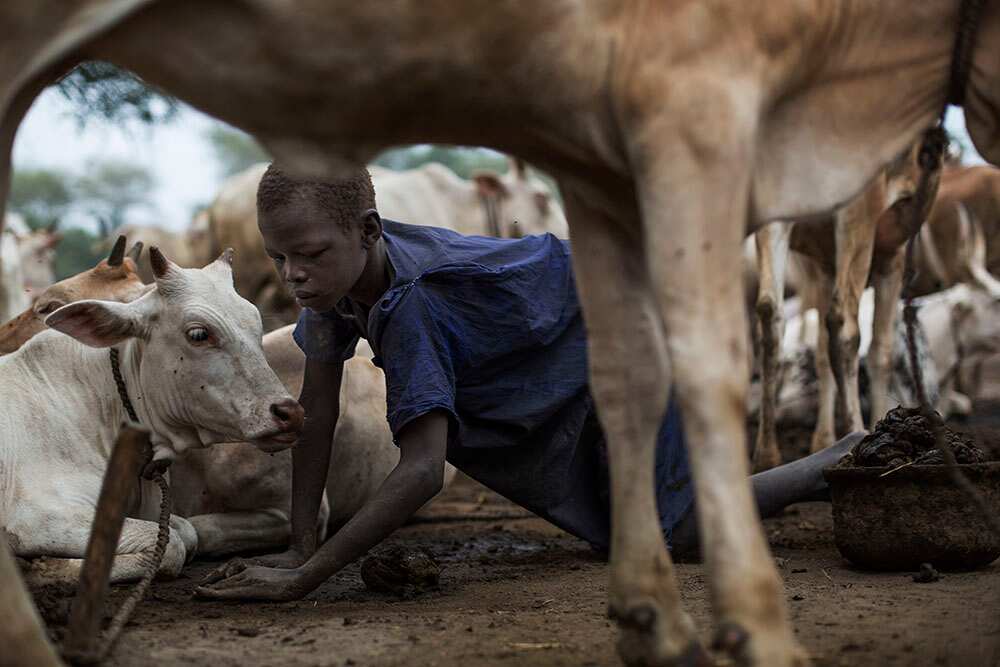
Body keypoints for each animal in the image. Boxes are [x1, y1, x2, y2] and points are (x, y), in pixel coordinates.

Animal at [1, 248, 304, 584]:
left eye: (256, 327)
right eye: (199, 334)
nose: (289, 412)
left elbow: (186, 531)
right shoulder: (39, 517)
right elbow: (172, 546)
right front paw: (41, 568)